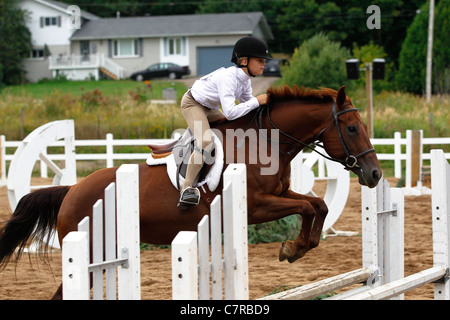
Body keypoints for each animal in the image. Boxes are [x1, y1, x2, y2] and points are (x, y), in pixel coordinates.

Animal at [0, 84, 380, 298]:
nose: (374, 174)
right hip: (90, 254)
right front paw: (293, 247)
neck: (264, 140)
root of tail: (71, 191)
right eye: (351, 128)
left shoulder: (280, 195)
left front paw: (297, 247)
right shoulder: (257, 206)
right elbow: (308, 207)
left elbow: (316, 205)